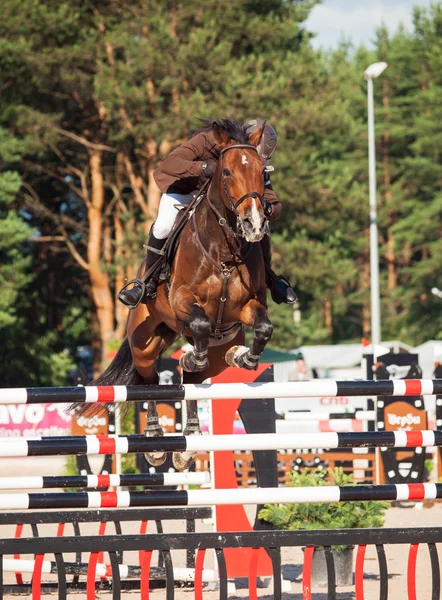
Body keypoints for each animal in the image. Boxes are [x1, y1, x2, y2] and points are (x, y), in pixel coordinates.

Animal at [78, 119, 274, 472]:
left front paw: (245, 358)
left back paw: (189, 442)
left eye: (261, 171)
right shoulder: (182, 300)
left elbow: (263, 327)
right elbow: (199, 323)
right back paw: (156, 442)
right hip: (144, 341)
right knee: (151, 381)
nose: (254, 224)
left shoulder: (247, 307)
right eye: (226, 172)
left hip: (211, 351)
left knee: (194, 380)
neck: (224, 252)